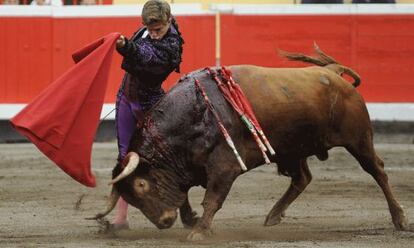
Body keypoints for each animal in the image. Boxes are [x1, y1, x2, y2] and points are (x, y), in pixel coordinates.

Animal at [93, 44, 408, 240]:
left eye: (141, 185)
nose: (164, 222)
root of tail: (332, 72)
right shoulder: (187, 168)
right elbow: (184, 196)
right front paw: (192, 220)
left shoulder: (224, 166)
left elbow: (212, 198)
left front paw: (199, 231)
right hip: (291, 149)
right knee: (302, 177)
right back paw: (273, 215)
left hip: (359, 140)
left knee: (378, 171)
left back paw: (400, 219)